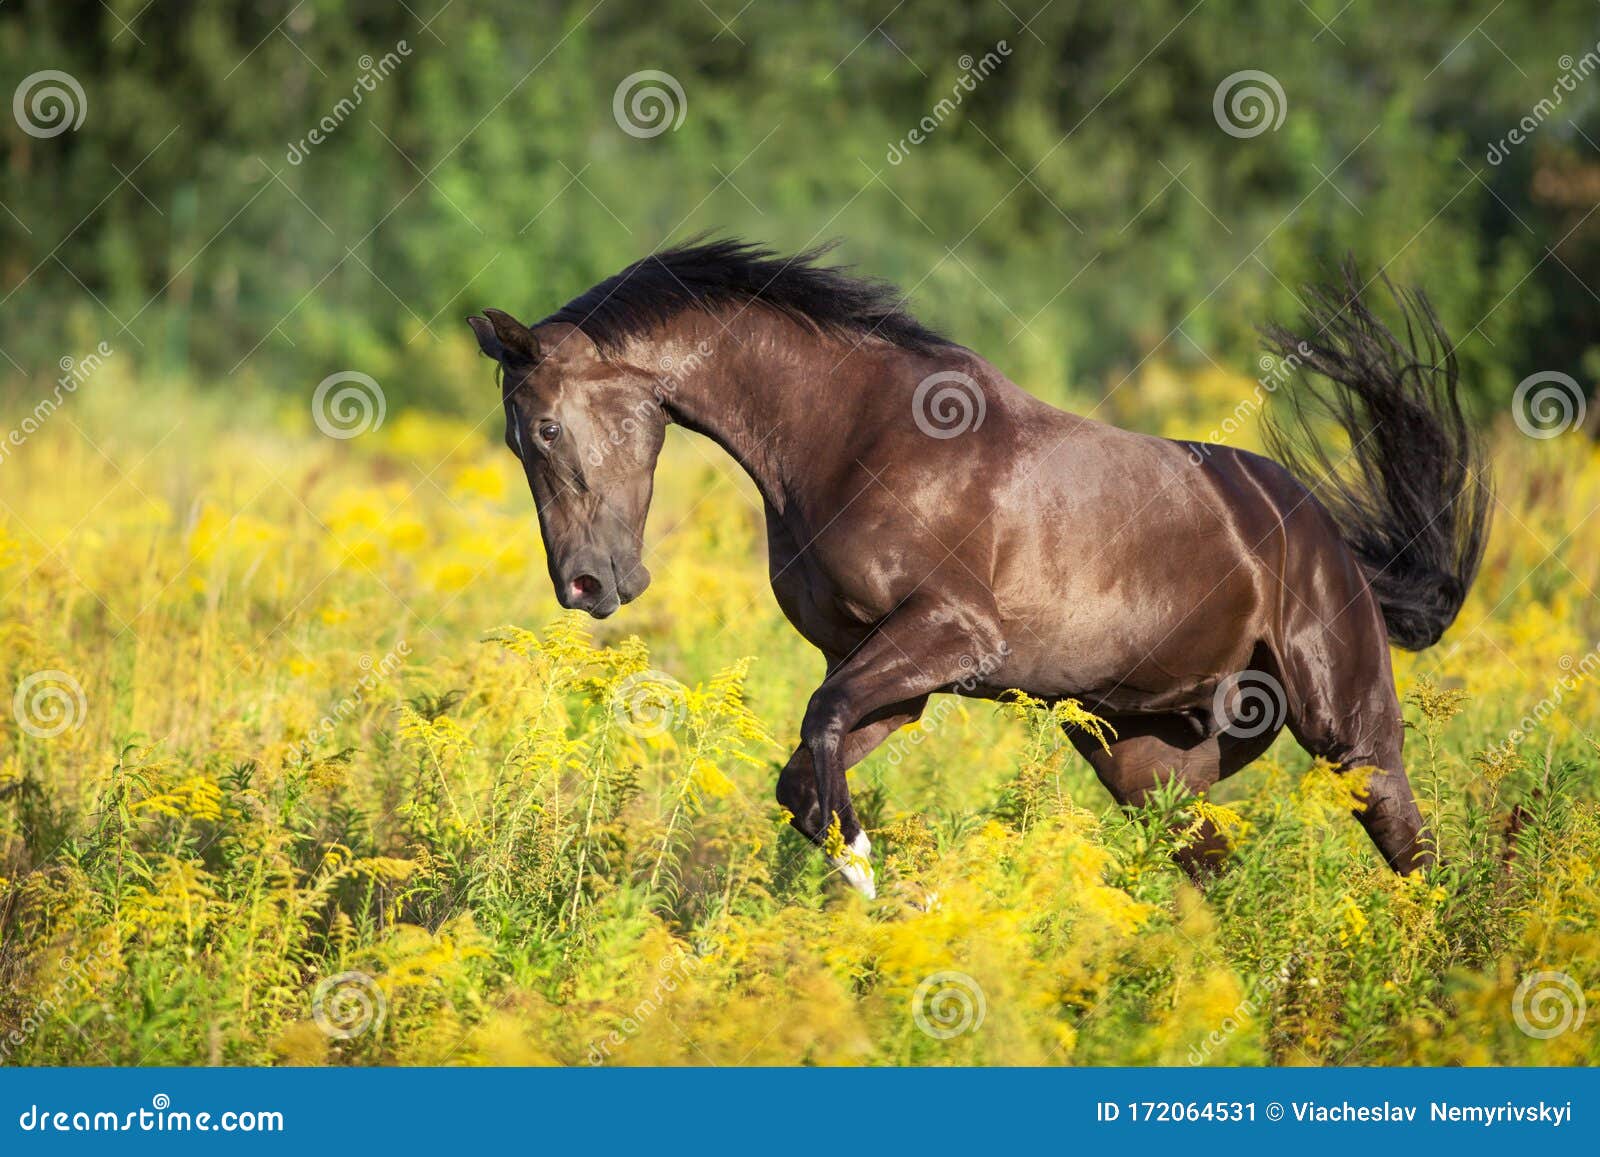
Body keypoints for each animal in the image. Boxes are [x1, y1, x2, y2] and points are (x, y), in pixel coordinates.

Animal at [467, 241, 1491, 896]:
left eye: (545, 428)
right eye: (516, 439)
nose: (587, 587)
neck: (849, 435)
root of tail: (1323, 536)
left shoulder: (950, 635)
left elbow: (821, 731)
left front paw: (875, 883)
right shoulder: (892, 674)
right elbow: (804, 778)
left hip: (1346, 728)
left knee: (1411, 850)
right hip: (1146, 754)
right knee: (1212, 865)